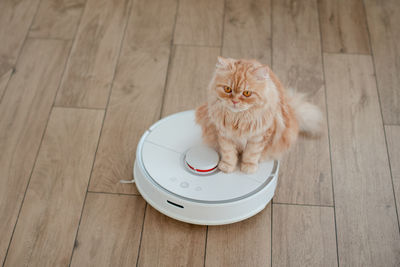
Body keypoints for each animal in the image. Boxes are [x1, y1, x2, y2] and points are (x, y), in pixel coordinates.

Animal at [195, 56, 324, 174]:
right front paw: (227, 166)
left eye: (247, 93)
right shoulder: (224, 134)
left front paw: (248, 168)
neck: (238, 119)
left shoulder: (259, 136)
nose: (235, 101)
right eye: (227, 89)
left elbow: (251, 154)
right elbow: (228, 153)